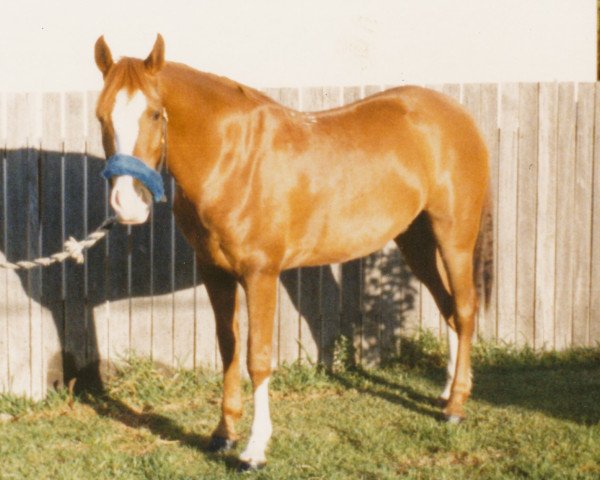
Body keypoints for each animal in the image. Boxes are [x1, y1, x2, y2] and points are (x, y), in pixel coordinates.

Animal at [95, 35, 488, 470]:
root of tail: (456, 114)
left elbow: (257, 357)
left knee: (464, 310)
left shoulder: (260, 274)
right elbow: (229, 348)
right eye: (101, 116)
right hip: (415, 241)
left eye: (153, 114)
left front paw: (254, 449)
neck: (232, 158)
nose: (127, 204)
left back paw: (455, 405)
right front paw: (223, 434)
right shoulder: (214, 272)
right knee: (447, 307)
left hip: (454, 238)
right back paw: (446, 390)